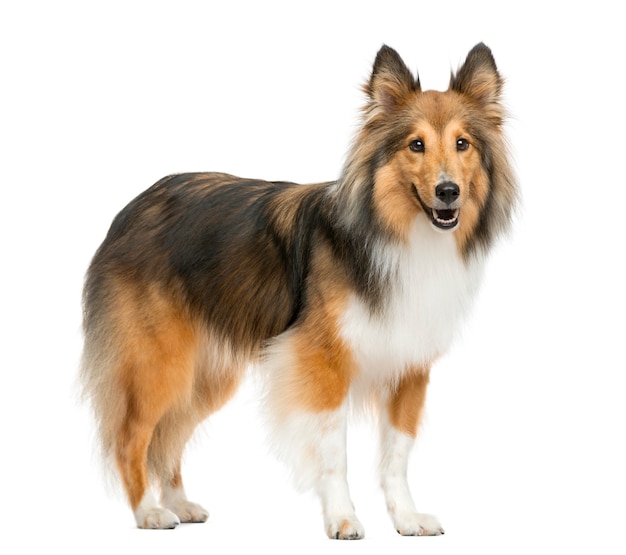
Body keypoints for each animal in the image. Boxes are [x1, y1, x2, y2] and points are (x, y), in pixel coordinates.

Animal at [80, 42, 516, 540]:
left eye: (463, 143)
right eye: (416, 144)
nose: (448, 192)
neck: (396, 233)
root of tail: (130, 209)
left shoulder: (409, 366)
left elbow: (398, 453)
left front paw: (407, 518)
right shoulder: (322, 361)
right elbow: (333, 450)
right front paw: (343, 518)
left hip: (206, 374)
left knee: (169, 436)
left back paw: (180, 504)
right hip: (160, 363)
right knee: (132, 436)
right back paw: (148, 513)